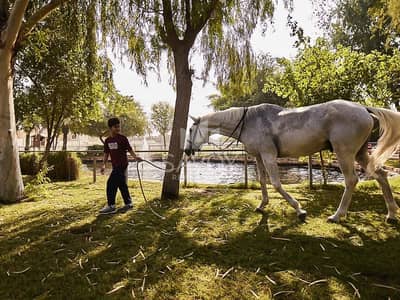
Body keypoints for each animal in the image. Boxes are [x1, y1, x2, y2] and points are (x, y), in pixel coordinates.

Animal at [184, 100, 400, 223]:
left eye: (190, 129)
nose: (186, 150)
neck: (249, 122)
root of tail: (363, 108)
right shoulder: (259, 157)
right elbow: (262, 182)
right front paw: (262, 205)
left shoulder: (268, 156)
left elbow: (276, 184)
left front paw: (299, 209)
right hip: (360, 154)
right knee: (381, 175)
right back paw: (391, 214)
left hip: (344, 153)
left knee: (351, 181)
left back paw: (337, 215)